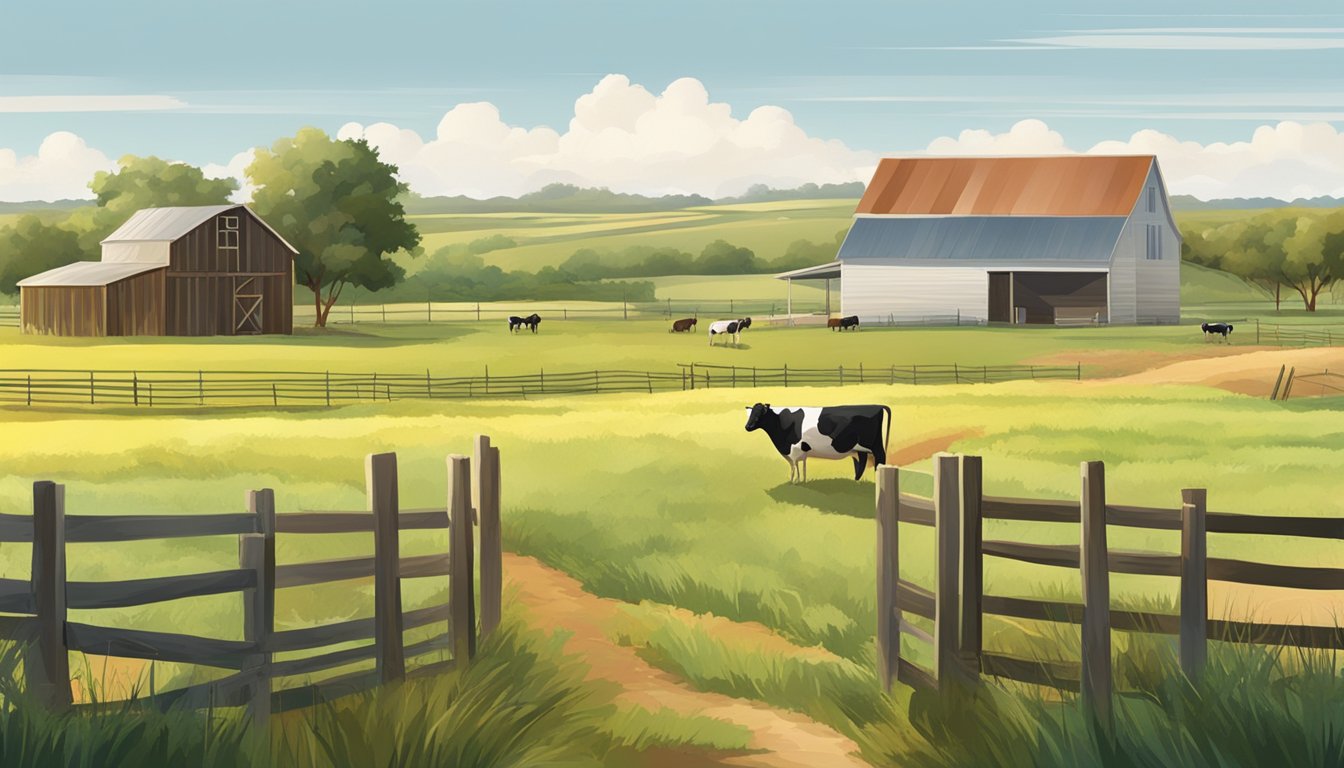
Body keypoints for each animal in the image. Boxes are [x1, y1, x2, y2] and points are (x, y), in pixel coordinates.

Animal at [747, 406, 892, 484]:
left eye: (759, 414)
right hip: (858, 448)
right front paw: (802, 481)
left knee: (880, 458)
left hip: (875, 446)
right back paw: (856, 481)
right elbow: (801, 466)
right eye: (750, 413)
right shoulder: (801, 451)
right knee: (861, 462)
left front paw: (793, 482)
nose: (747, 426)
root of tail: (878, 406)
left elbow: (794, 466)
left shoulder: (793, 449)